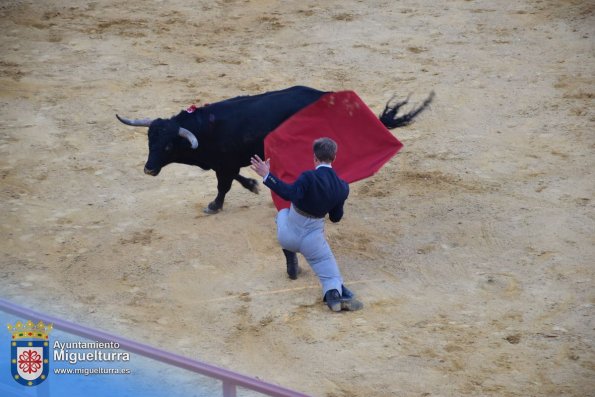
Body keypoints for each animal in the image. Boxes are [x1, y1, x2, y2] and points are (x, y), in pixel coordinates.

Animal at [116, 84, 434, 213]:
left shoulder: (225, 164)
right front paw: (253, 185)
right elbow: (236, 178)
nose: (148, 168)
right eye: (150, 141)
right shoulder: (228, 163)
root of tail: (325, 95)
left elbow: (223, 186)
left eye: (169, 145)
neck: (205, 128)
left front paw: (214, 206)